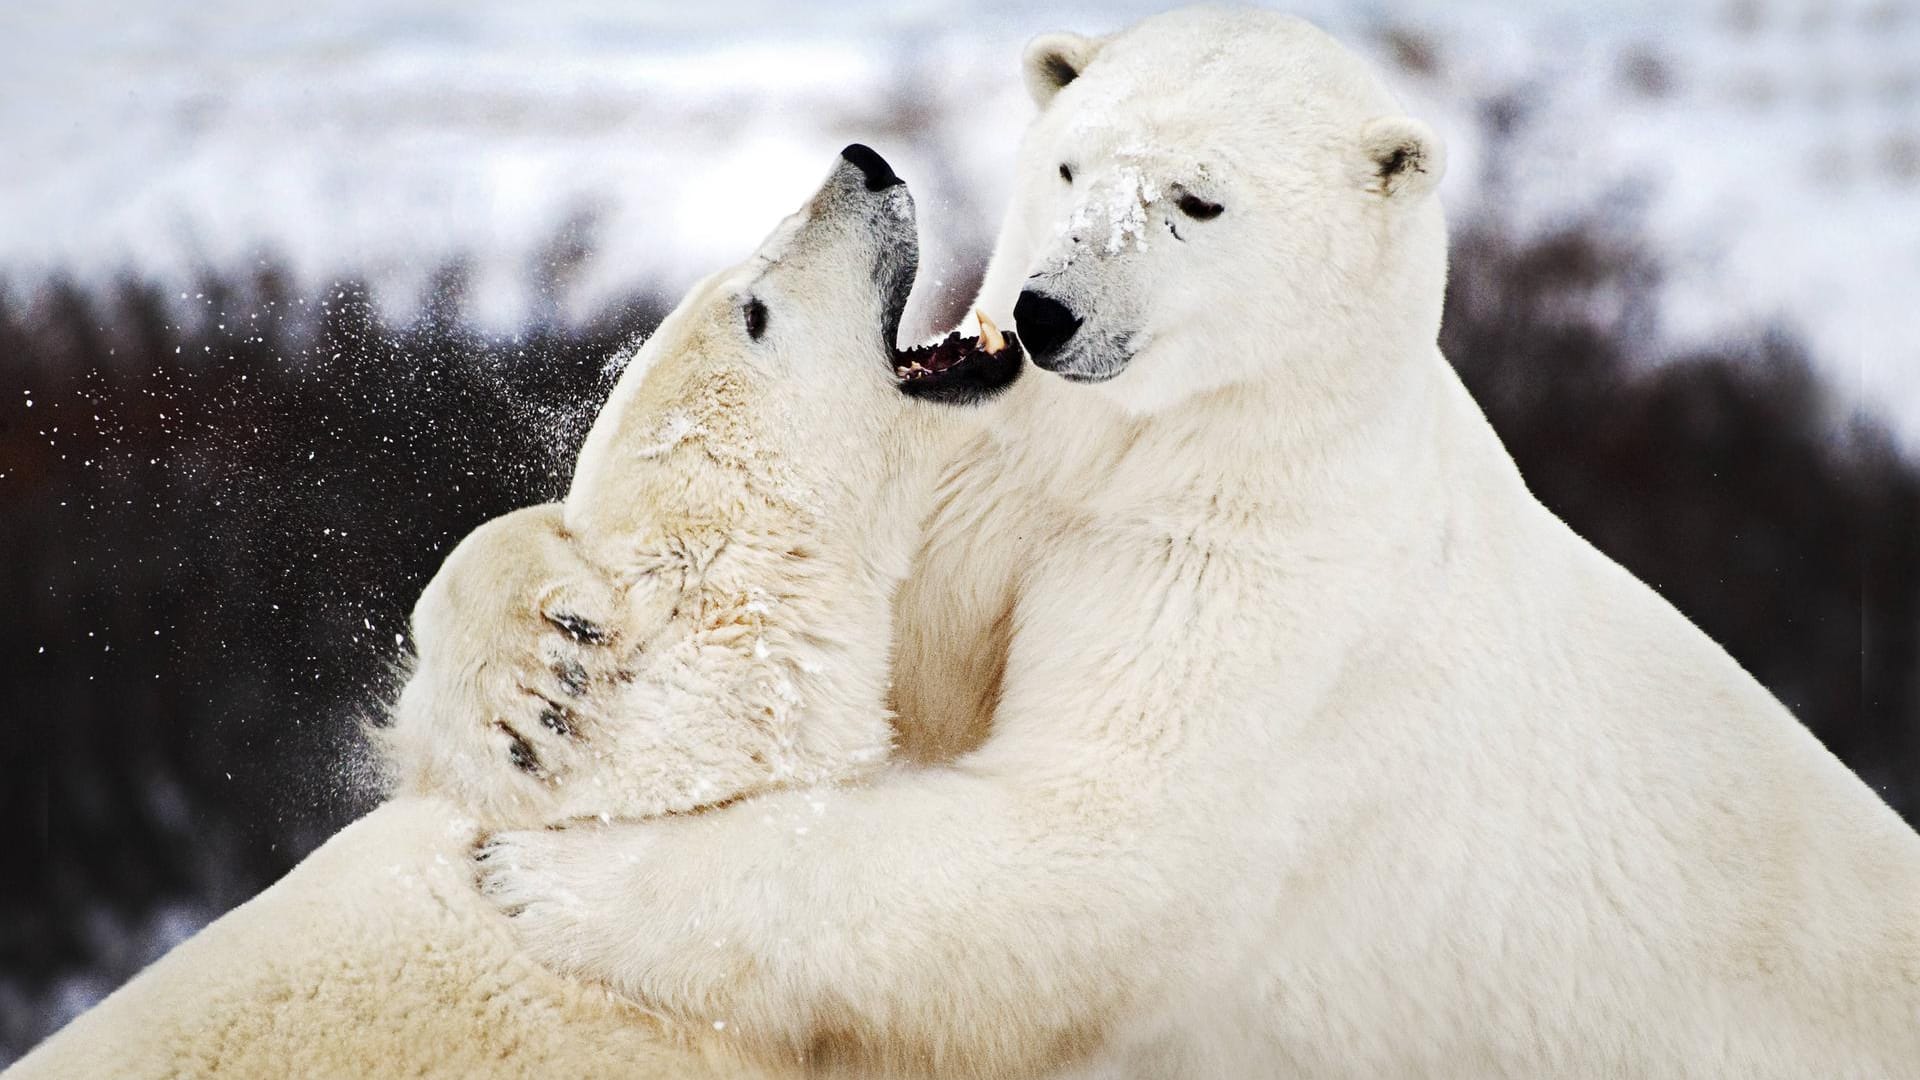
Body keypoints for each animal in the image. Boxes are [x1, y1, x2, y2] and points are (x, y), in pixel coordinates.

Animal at [468, 10, 1920, 1076]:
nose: (1046, 312)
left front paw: (539, 874)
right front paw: (535, 665)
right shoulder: (1011, 477)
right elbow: (896, 625)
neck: (1173, 445)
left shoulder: (1256, 585)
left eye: (1198, 202)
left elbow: (1079, 851)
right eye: (1066, 163)